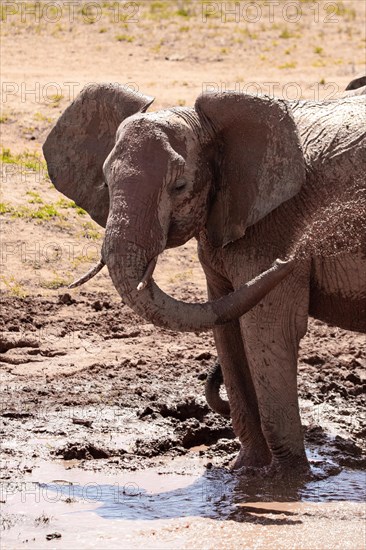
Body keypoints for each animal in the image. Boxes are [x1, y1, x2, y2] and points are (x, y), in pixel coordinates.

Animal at [43, 80, 366, 476]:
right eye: (105, 182)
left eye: (180, 186)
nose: (290, 258)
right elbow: (226, 328)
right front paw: (242, 471)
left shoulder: (274, 224)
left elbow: (267, 329)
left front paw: (286, 481)